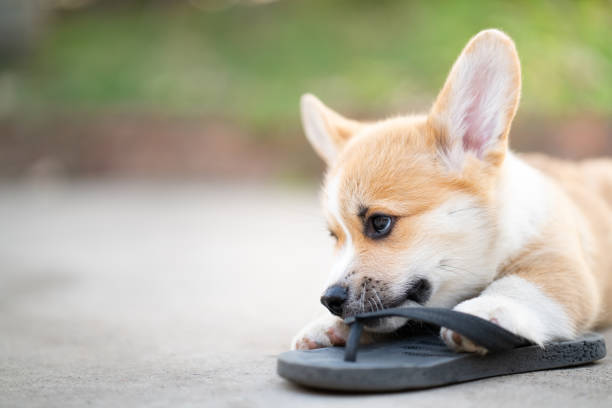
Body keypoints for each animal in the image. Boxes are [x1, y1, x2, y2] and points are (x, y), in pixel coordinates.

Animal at [292, 29, 612, 354]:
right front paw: (326, 325)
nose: (330, 300)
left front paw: (486, 309)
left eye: (380, 222)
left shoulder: (561, 264)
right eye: (334, 236)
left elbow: (520, 287)